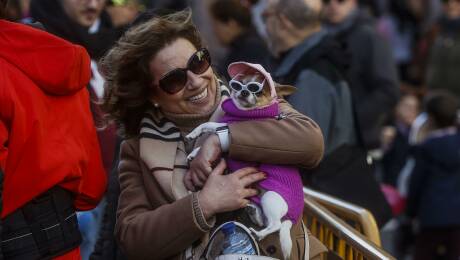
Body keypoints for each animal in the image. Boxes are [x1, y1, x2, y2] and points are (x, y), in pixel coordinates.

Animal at [185, 62, 304, 260]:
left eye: (259, 91)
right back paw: (253, 212)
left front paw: (193, 134)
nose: (244, 91)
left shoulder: (226, 126)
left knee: (276, 225)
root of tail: (291, 218)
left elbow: (208, 126)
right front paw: (195, 153)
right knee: (265, 220)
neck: (247, 113)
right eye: (239, 84)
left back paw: (259, 233)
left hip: (270, 199)